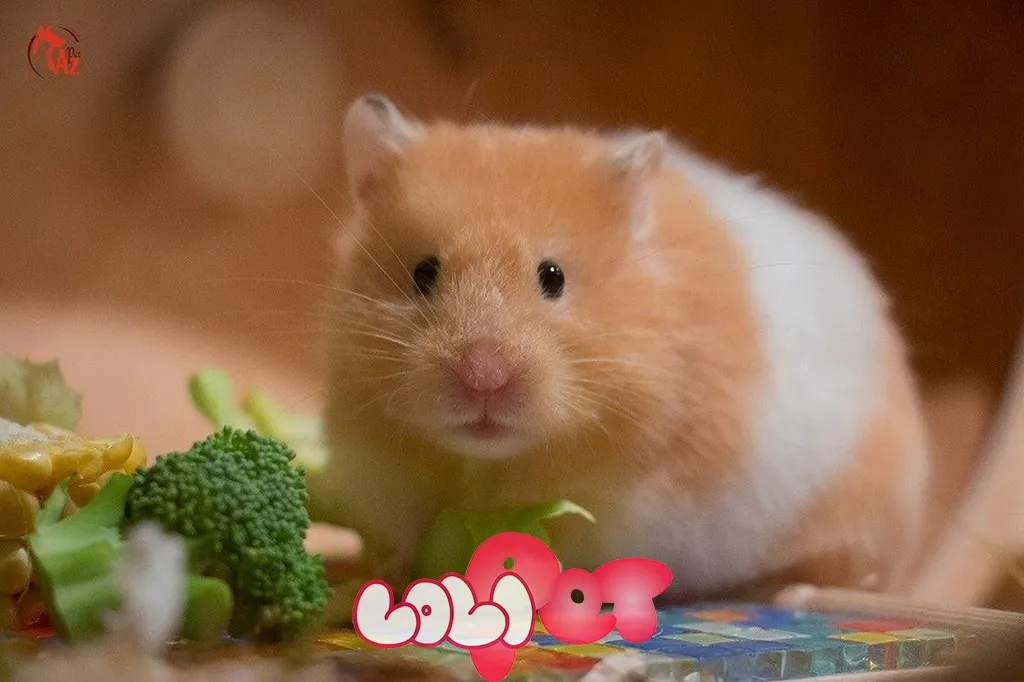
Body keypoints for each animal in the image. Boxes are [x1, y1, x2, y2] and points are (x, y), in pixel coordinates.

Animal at [313, 93, 931, 602]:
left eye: (553, 277)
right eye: (423, 273)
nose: (484, 378)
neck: (490, 463)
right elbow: (410, 534)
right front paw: (394, 571)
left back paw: (789, 592)